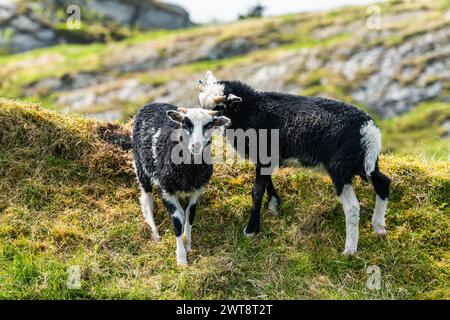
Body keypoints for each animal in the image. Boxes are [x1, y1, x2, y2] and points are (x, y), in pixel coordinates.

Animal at [130, 103, 229, 264]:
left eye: (209, 125)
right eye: (186, 124)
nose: (196, 146)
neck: (190, 170)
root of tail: (152, 104)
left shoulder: (197, 190)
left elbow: (190, 216)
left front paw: (188, 244)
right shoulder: (167, 190)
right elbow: (176, 222)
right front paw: (181, 259)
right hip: (141, 167)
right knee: (146, 201)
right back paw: (155, 233)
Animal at [197, 72, 390, 255]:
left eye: (218, 108)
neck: (250, 109)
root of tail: (368, 129)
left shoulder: (265, 155)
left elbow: (257, 192)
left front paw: (251, 229)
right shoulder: (266, 159)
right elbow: (267, 182)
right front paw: (274, 204)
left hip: (340, 169)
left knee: (352, 208)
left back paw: (350, 250)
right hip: (365, 164)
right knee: (383, 183)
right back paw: (379, 228)